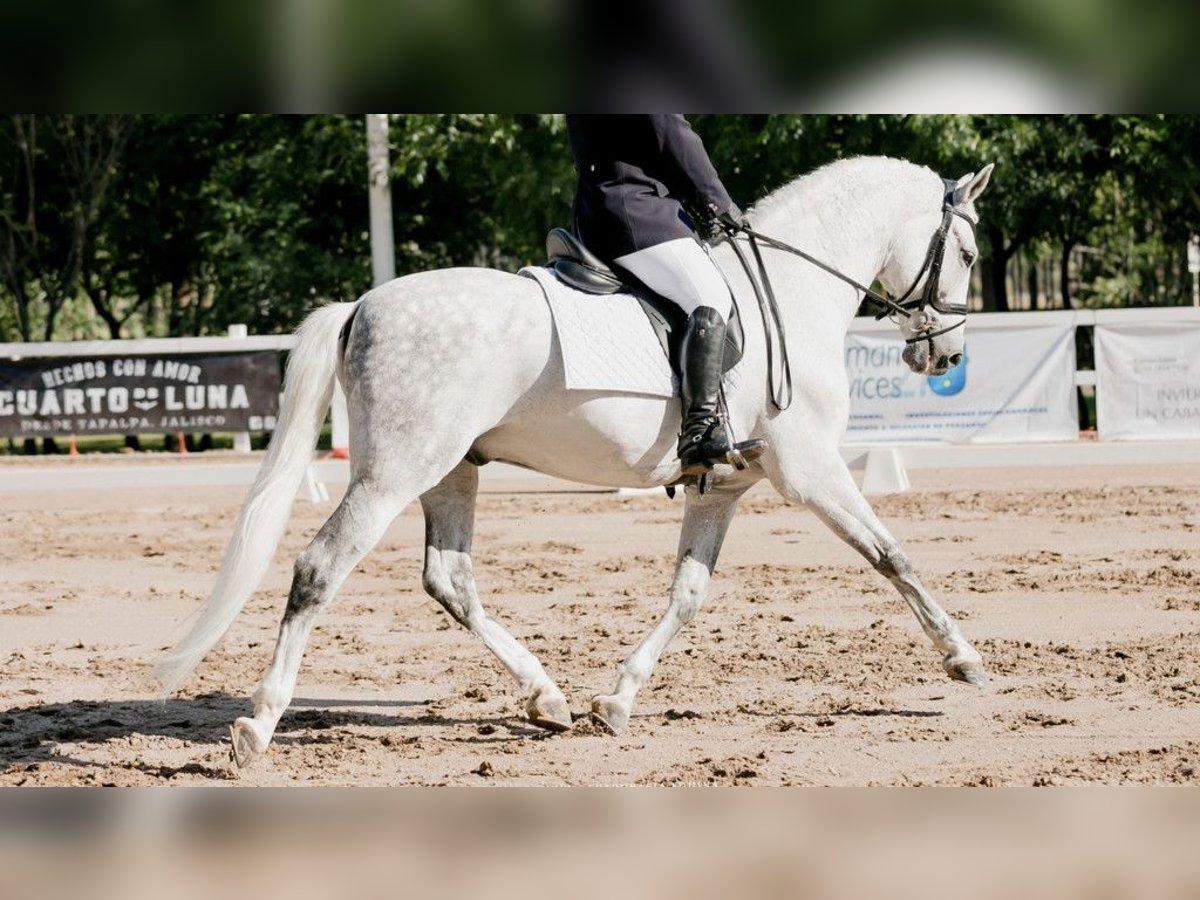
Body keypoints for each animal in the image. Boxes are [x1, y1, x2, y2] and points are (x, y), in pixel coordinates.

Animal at [152, 154, 993, 768]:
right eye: (968, 251)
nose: (946, 356)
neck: (788, 292)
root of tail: (362, 304)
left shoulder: (720, 488)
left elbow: (688, 594)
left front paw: (616, 700)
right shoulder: (810, 470)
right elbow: (892, 555)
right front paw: (963, 659)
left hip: (453, 469)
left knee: (449, 579)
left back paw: (545, 697)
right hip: (394, 472)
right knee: (320, 569)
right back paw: (259, 724)